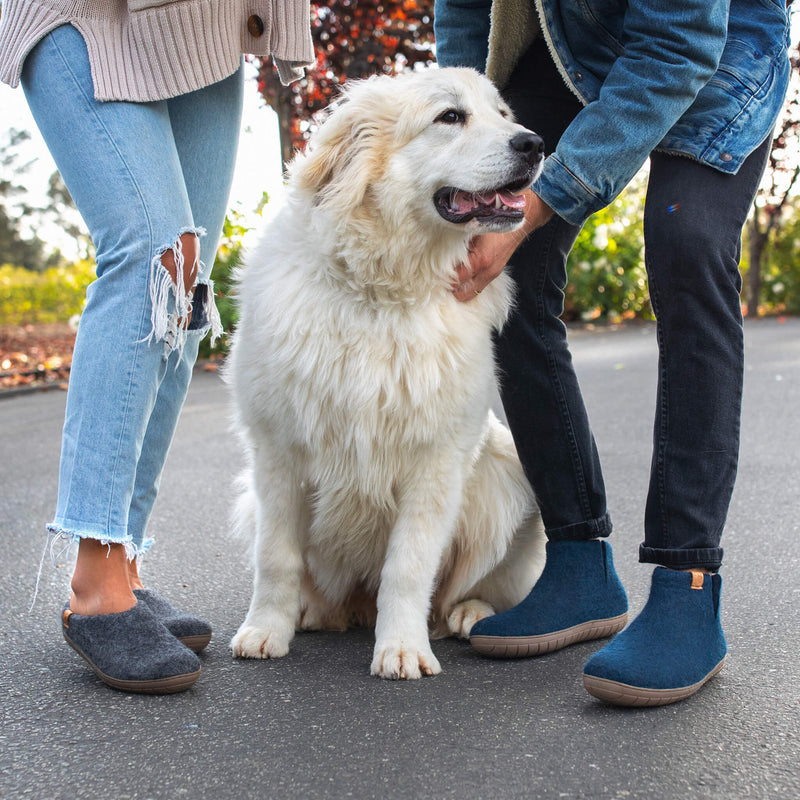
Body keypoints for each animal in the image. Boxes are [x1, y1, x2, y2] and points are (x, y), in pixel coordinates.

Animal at [228, 69, 548, 680]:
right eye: (450, 116)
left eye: (502, 114)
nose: (536, 144)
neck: (381, 291)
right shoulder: (276, 454)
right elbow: (274, 559)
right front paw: (265, 631)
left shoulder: (436, 462)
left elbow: (409, 566)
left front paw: (401, 648)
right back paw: (312, 612)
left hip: (507, 474)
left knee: (476, 589)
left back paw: (469, 614)